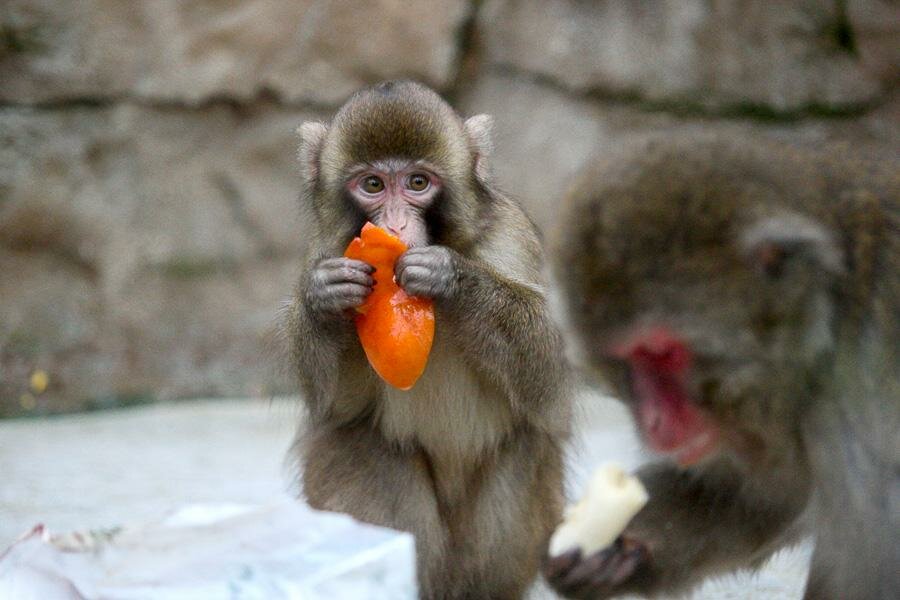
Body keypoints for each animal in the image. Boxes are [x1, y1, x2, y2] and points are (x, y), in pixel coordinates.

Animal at [282, 81, 572, 599]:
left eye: (418, 183)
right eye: (373, 185)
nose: (395, 226)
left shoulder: (511, 237)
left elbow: (551, 396)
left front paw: (451, 278)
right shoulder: (325, 249)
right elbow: (334, 410)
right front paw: (324, 302)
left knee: (525, 441)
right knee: (359, 441)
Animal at [543, 133, 899, 599]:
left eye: (661, 352)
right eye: (625, 360)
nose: (654, 423)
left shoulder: (863, 398)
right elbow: (755, 501)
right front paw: (617, 552)